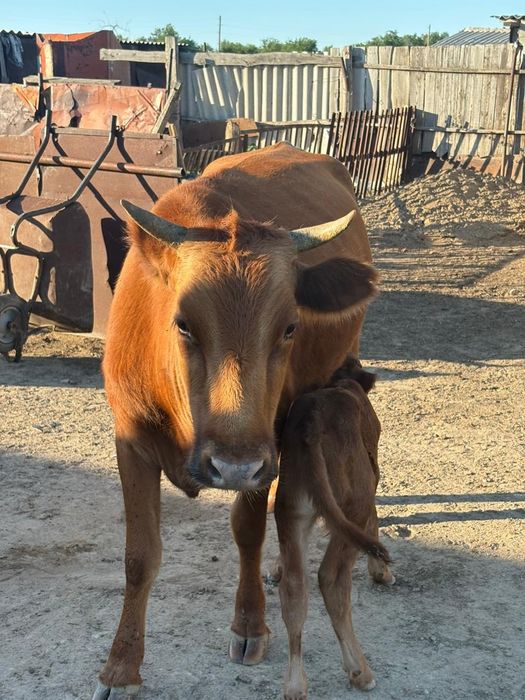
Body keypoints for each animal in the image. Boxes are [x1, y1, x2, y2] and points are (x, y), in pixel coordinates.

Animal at [92, 143, 378, 699]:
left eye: (289, 327)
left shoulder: (263, 445)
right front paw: (120, 667)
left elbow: (248, 529)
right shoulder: (130, 440)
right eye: (183, 323)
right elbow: (139, 558)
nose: (234, 467)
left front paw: (250, 624)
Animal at [274, 356, 394, 699]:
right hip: (352, 506)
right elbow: (376, 521)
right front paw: (381, 571)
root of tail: (312, 422)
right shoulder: (372, 479)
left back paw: (295, 684)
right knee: (331, 578)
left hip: (291, 511)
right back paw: (361, 672)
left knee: (294, 588)